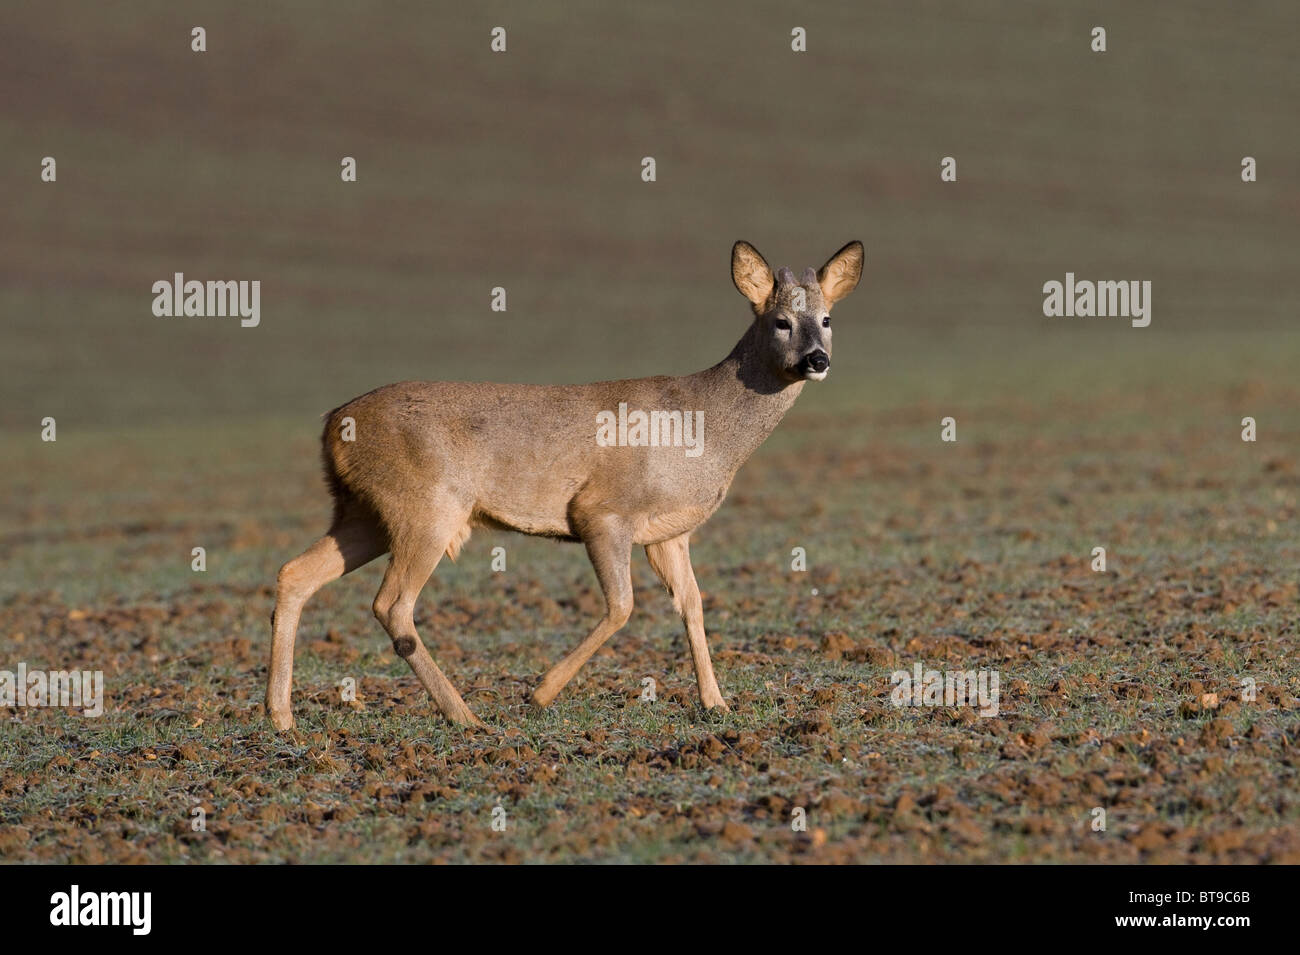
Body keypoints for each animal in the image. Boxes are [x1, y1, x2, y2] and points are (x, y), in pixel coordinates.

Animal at [265, 240, 864, 731]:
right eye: (782, 321)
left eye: (828, 318)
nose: (817, 359)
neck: (704, 429)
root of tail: (332, 424)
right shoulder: (602, 511)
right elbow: (622, 607)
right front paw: (540, 693)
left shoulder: (671, 532)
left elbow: (693, 604)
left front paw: (716, 703)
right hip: (425, 508)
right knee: (391, 605)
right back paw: (465, 716)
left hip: (365, 513)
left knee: (295, 573)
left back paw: (281, 717)